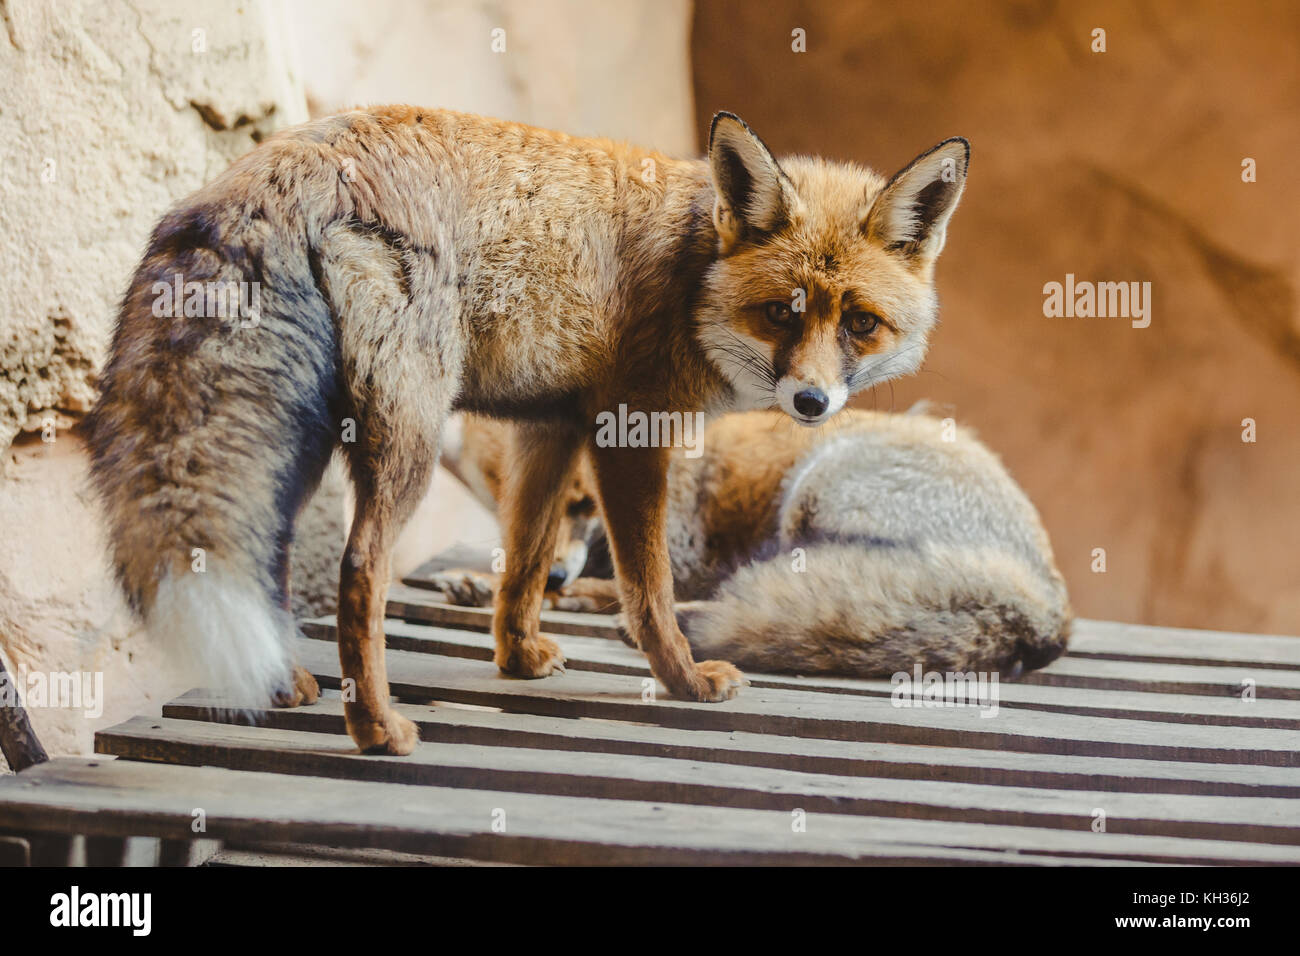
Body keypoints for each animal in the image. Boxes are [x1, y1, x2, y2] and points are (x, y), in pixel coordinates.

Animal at [86, 106, 972, 754]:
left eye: (860, 323)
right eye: (781, 314)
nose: (814, 403)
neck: (692, 271)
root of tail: (293, 154)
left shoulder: (551, 426)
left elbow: (526, 560)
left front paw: (516, 659)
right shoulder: (629, 432)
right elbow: (649, 589)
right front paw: (684, 682)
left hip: (298, 443)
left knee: (264, 553)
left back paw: (284, 686)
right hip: (407, 434)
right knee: (361, 570)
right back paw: (376, 729)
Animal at [441, 408, 1071, 676]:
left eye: (584, 505)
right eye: (504, 505)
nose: (558, 574)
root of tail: (1046, 600)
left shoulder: (679, 552)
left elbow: (634, 584)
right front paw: (483, 581)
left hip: (812, 496)